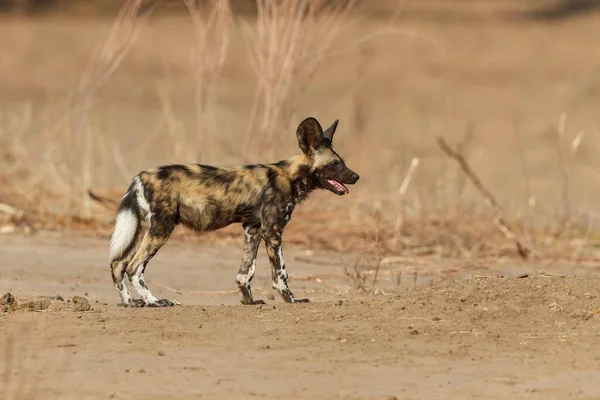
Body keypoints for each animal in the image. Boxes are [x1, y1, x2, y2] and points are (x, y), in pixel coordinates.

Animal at [108, 115, 358, 306]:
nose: (356, 176)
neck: (290, 176)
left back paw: (130, 302)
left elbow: (245, 273)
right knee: (134, 267)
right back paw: (154, 301)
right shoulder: (272, 231)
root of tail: (141, 176)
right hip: (161, 229)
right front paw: (292, 299)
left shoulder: (253, 229)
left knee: (118, 264)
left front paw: (250, 301)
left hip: (144, 229)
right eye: (335, 164)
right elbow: (281, 273)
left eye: (342, 162)